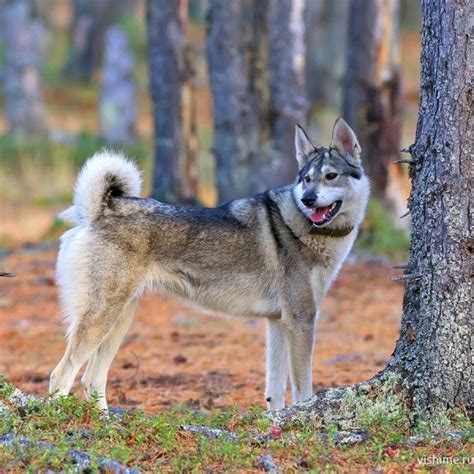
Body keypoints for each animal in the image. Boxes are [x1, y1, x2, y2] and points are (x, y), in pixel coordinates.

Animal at [51, 118, 370, 412]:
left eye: (330, 176)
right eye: (306, 179)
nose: (307, 199)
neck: (304, 229)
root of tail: (99, 211)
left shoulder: (278, 322)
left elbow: (275, 391)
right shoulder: (301, 321)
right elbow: (303, 391)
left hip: (120, 320)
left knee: (91, 380)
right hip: (103, 318)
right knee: (61, 375)